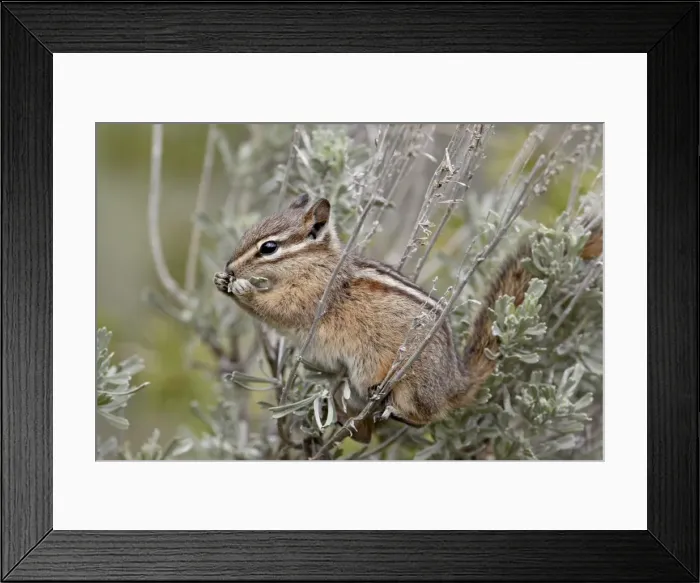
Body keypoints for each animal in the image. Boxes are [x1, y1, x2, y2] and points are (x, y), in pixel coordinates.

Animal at [214, 193, 603, 443]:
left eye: (268, 247)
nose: (229, 266)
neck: (316, 263)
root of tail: (456, 383)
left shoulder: (313, 295)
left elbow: (279, 311)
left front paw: (240, 290)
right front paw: (222, 282)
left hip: (412, 384)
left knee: (424, 416)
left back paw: (389, 410)